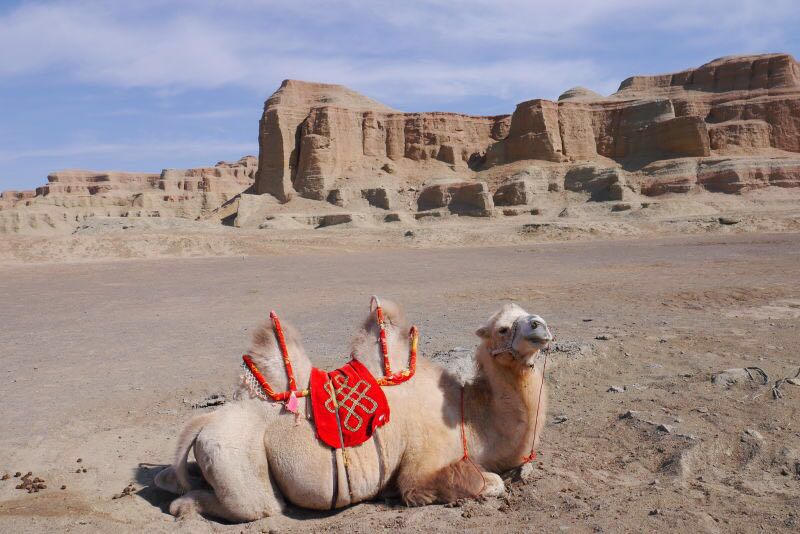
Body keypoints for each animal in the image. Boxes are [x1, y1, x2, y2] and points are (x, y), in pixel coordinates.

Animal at [154, 299, 551, 522]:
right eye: (503, 328)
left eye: (527, 315)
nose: (540, 325)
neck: (468, 415)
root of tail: (204, 421)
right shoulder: (423, 466)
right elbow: (490, 483)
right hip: (235, 457)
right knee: (257, 507)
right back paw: (182, 506)